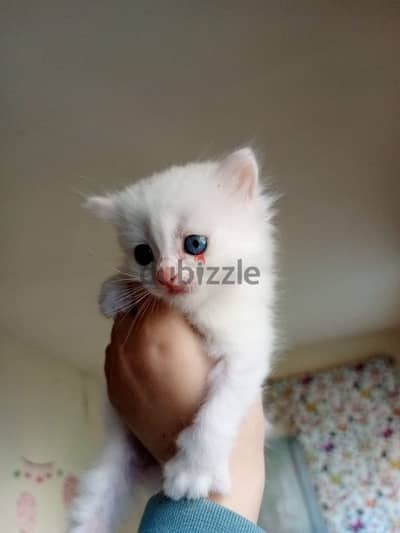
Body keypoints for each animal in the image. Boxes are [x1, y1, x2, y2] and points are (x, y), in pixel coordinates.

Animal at [69, 149, 276, 532]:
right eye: (143, 254)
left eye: (195, 244)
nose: (165, 276)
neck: (196, 309)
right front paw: (114, 294)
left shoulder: (245, 355)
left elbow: (216, 415)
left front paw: (194, 474)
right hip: (110, 468)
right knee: (93, 504)